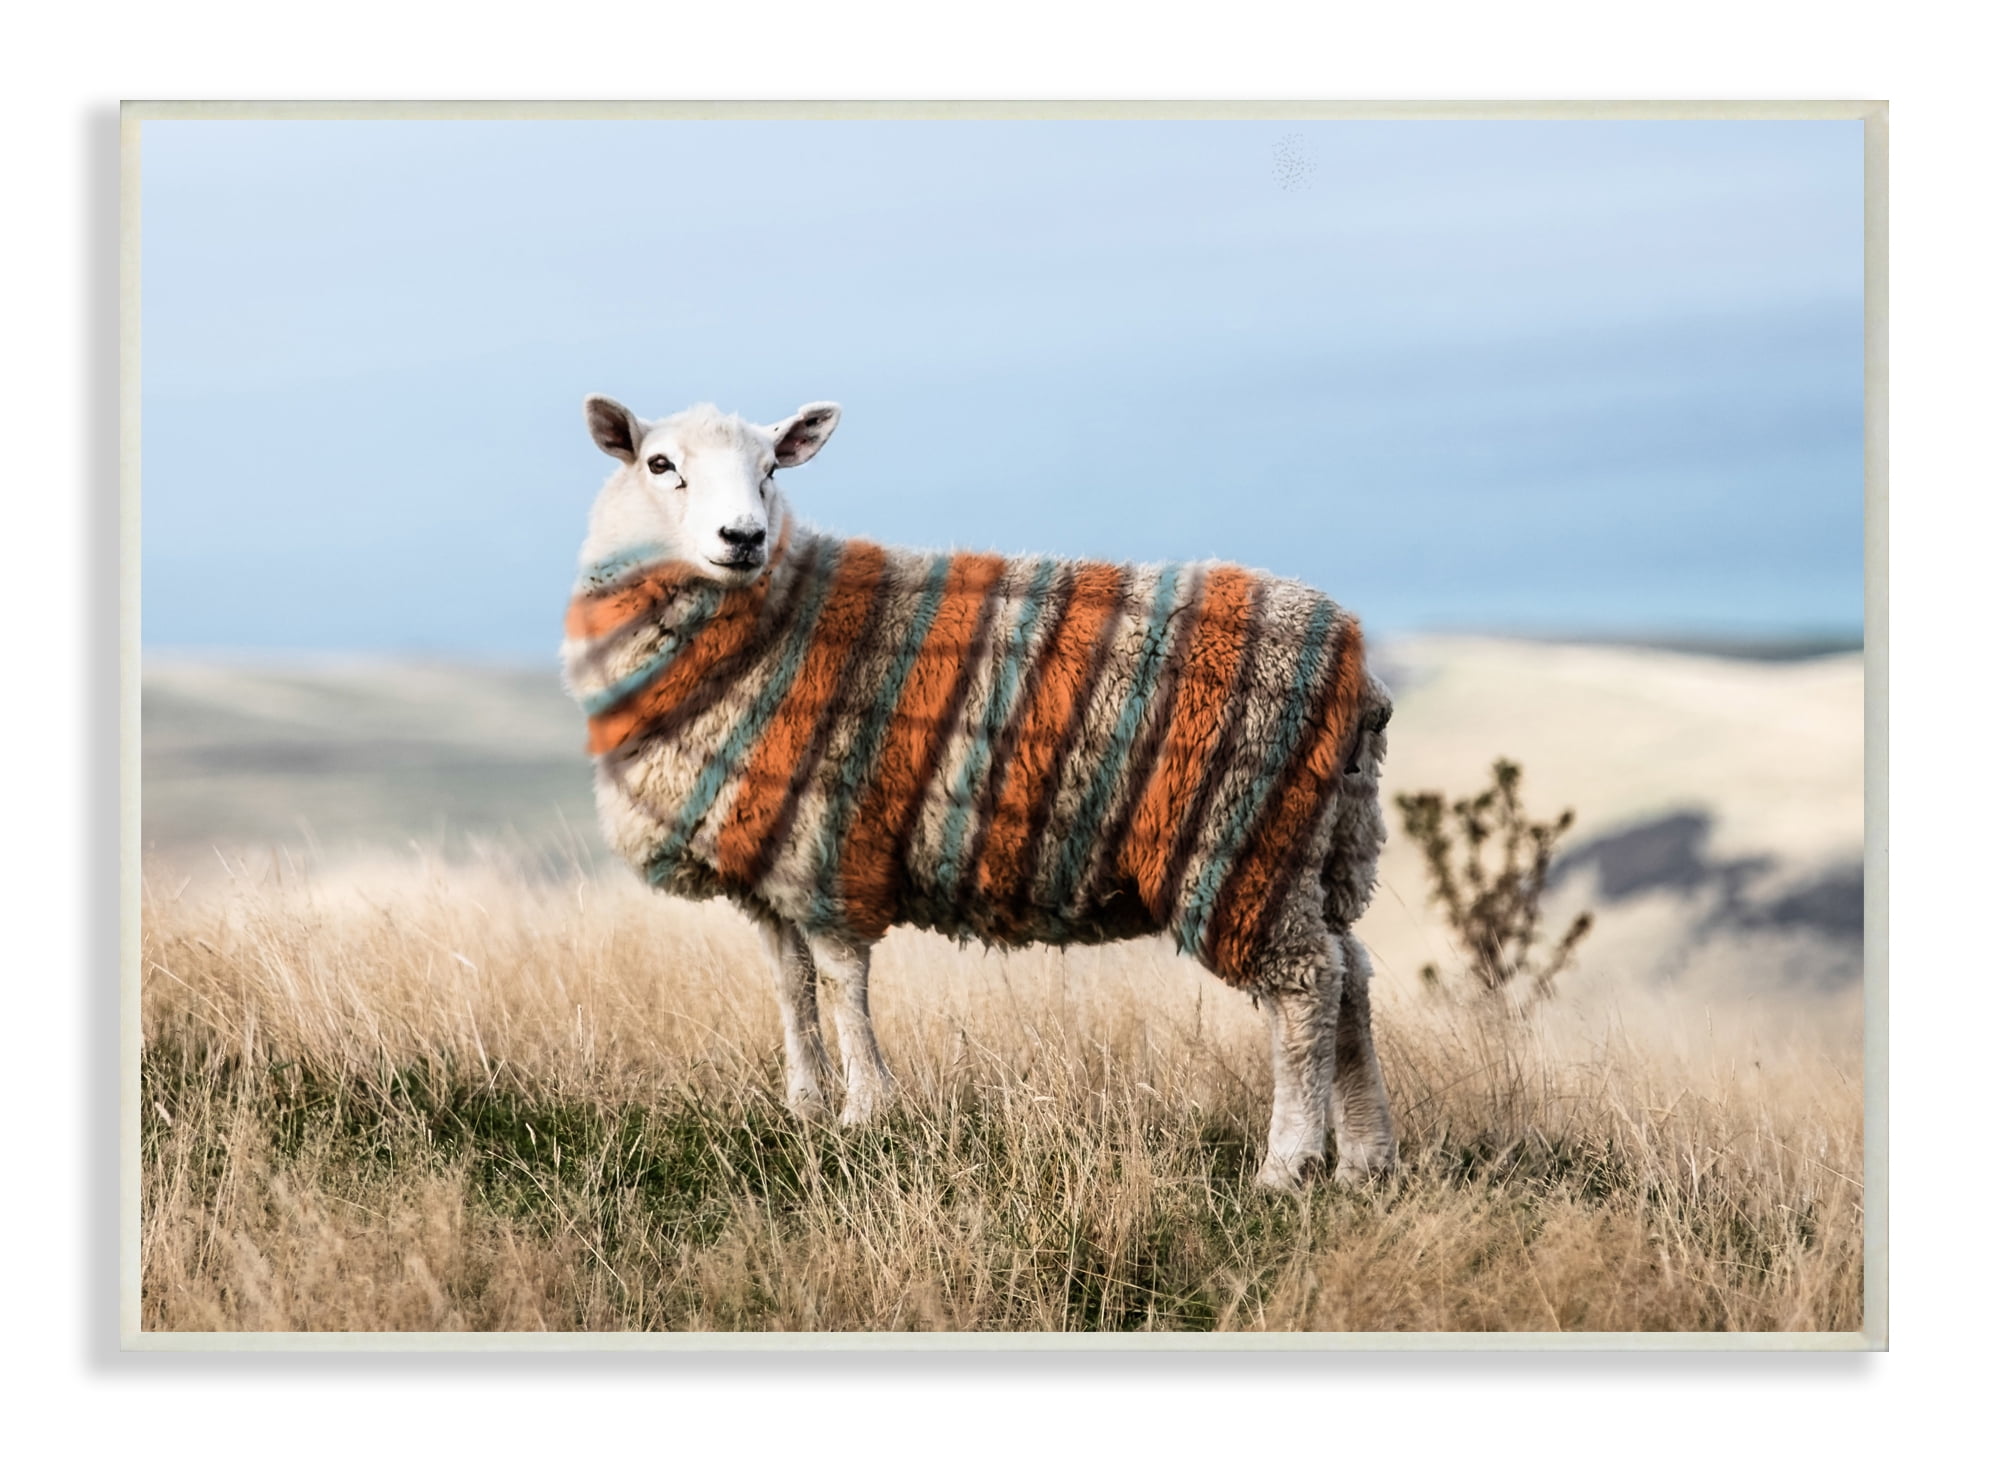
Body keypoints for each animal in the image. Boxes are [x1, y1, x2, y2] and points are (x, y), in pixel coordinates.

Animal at [563, 396, 1396, 1189]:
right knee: (1351, 975)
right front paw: (803, 1104)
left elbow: (840, 980)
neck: (776, 617)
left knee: (1306, 986)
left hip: (1238, 840)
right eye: (660, 463)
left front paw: (865, 1110)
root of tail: (1355, 664)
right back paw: (1365, 1158)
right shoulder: (765, 858)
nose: (744, 537)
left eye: (772, 468)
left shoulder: (824, 844)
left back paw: (1288, 1164)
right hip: (1319, 846)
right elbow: (791, 984)